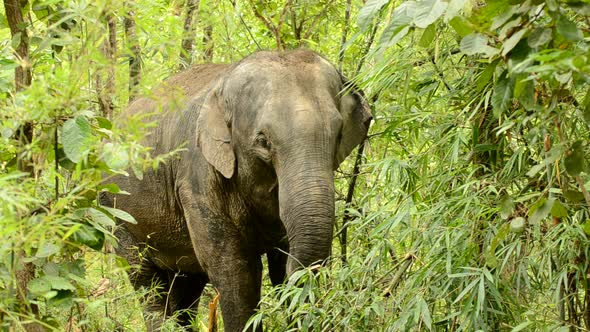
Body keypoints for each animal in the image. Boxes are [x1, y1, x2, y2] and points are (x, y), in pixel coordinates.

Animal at [100, 50, 372, 332]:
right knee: (147, 282)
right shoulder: (197, 180)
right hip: (116, 214)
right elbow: (233, 269)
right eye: (263, 141)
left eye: (339, 134)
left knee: (186, 285)